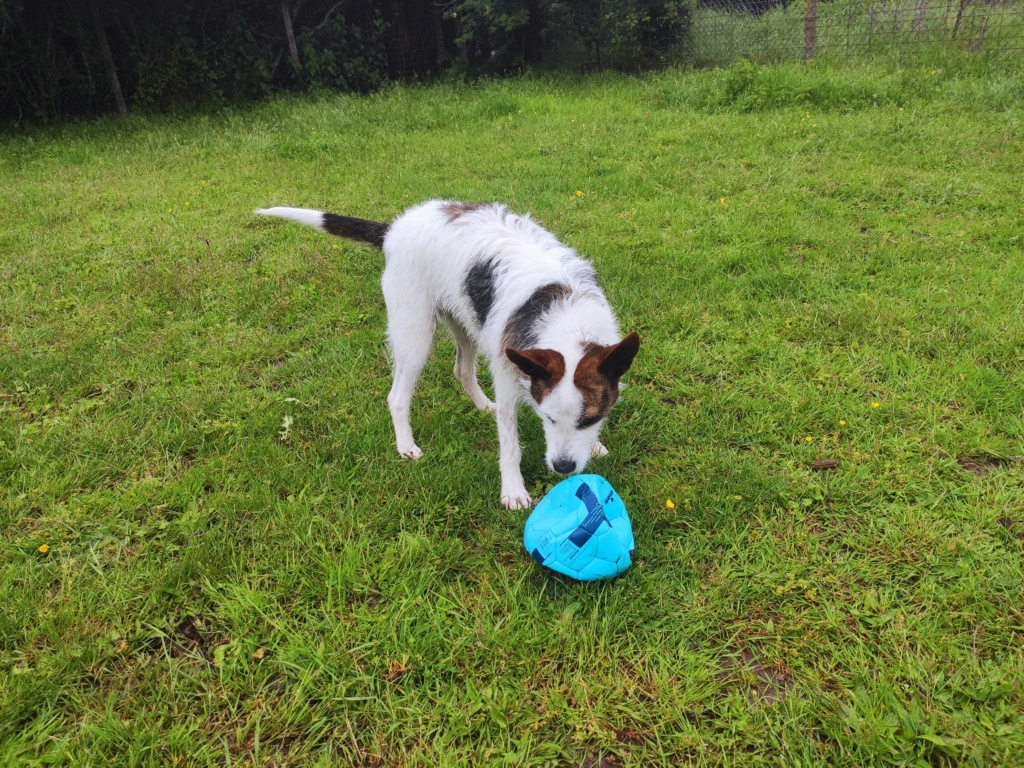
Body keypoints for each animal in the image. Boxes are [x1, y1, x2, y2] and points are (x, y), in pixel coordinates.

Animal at [253, 201, 638, 507]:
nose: (563, 468)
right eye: (548, 419)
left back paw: (483, 405)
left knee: (462, 370)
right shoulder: (509, 378)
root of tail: (395, 228)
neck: (568, 322)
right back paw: (406, 445)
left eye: (589, 420)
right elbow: (509, 445)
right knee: (397, 396)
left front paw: (595, 447)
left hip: (465, 321)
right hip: (415, 334)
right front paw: (513, 491)